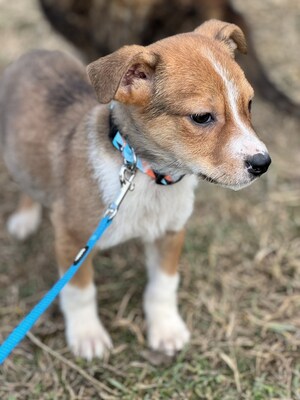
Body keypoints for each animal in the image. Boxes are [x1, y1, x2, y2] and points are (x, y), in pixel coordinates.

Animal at [0, 20, 270, 360]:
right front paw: (87, 334)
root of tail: (33, 53)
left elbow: (163, 285)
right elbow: (79, 292)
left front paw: (166, 328)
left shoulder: (171, 233)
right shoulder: (73, 238)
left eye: (249, 104)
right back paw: (25, 217)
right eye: (201, 117)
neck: (145, 176)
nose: (262, 163)